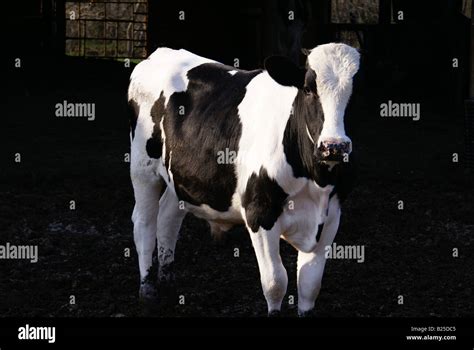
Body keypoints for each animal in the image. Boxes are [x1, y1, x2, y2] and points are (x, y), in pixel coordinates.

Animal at [127, 42, 360, 316]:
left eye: (357, 91)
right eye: (307, 89)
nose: (334, 147)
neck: (315, 177)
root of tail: (160, 52)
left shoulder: (332, 215)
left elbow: (310, 285)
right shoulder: (260, 213)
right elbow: (275, 283)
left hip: (183, 178)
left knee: (167, 218)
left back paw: (168, 282)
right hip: (142, 167)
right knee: (144, 223)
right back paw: (148, 290)